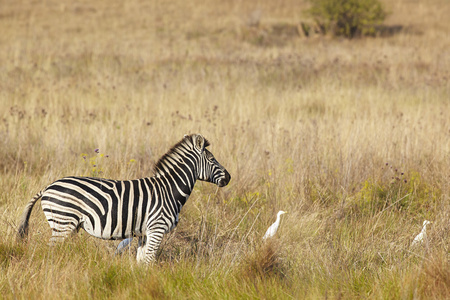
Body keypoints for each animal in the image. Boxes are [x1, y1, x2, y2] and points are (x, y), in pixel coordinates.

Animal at [17, 133, 230, 262]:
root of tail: (47, 187)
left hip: (66, 224)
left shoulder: (145, 233)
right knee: (51, 251)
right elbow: (150, 260)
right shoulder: (157, 227)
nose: (228, 177)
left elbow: (142, 261)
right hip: (62, 221)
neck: (169, 189)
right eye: (212, 159)